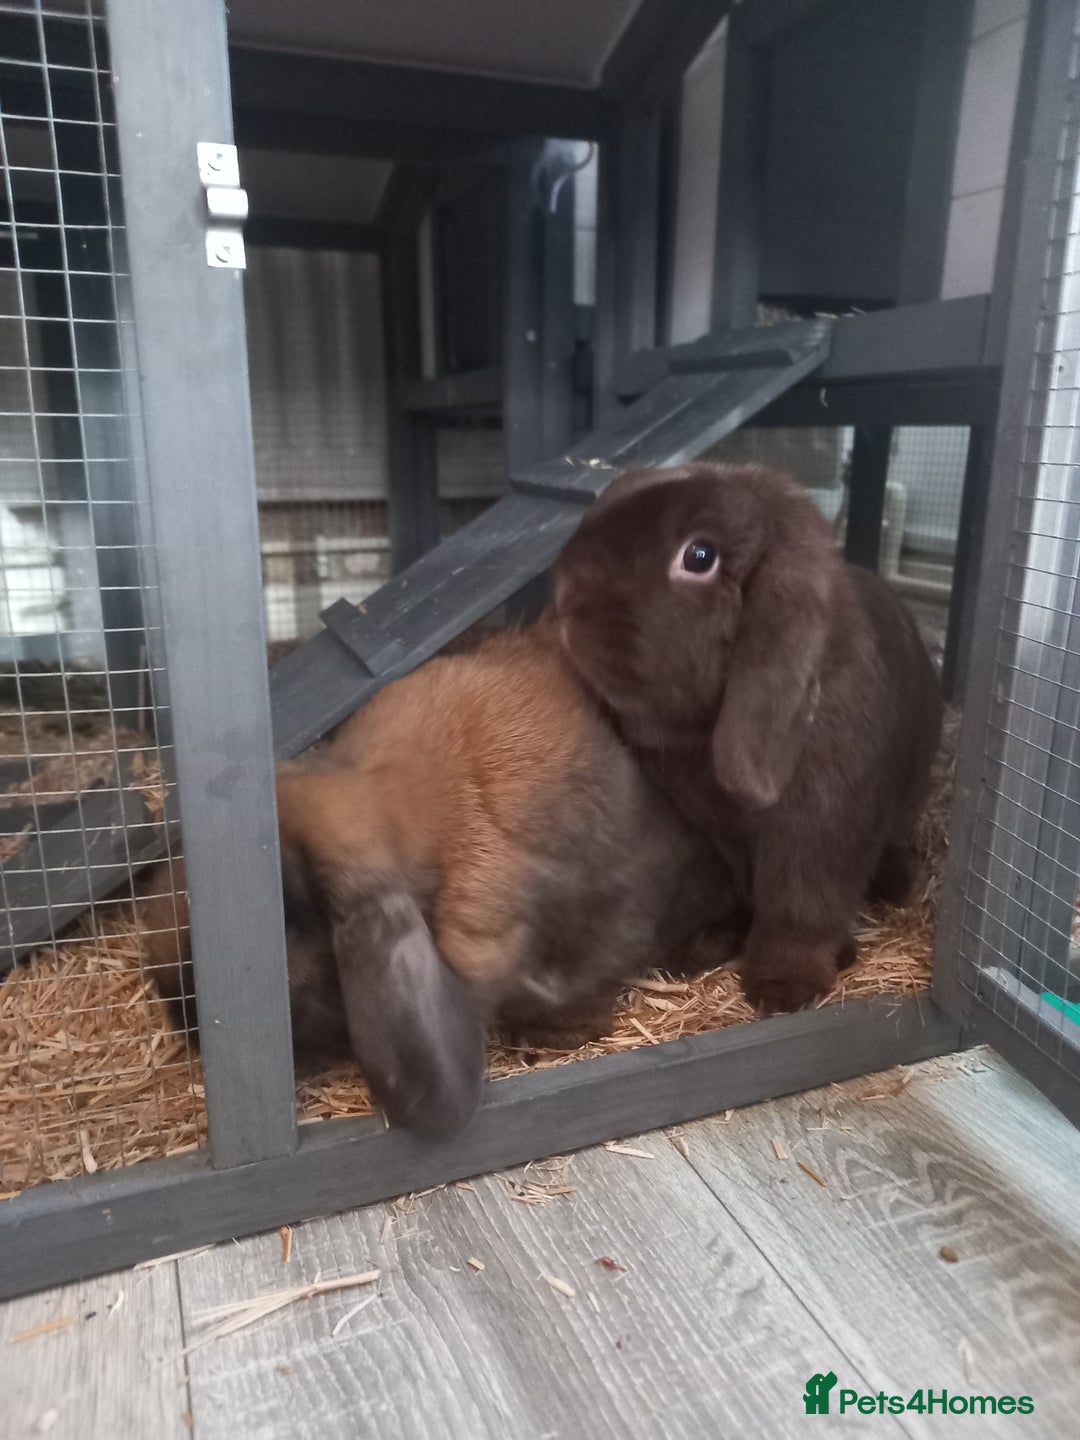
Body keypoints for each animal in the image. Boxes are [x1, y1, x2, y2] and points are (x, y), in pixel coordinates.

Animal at [551, 462, 944, 1017]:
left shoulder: (818, 836)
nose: (565, 602)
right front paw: (707, 945)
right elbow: (746, 891)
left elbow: (800, 911)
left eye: (699, 556)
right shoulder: (723, 836)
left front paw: (784, 987)